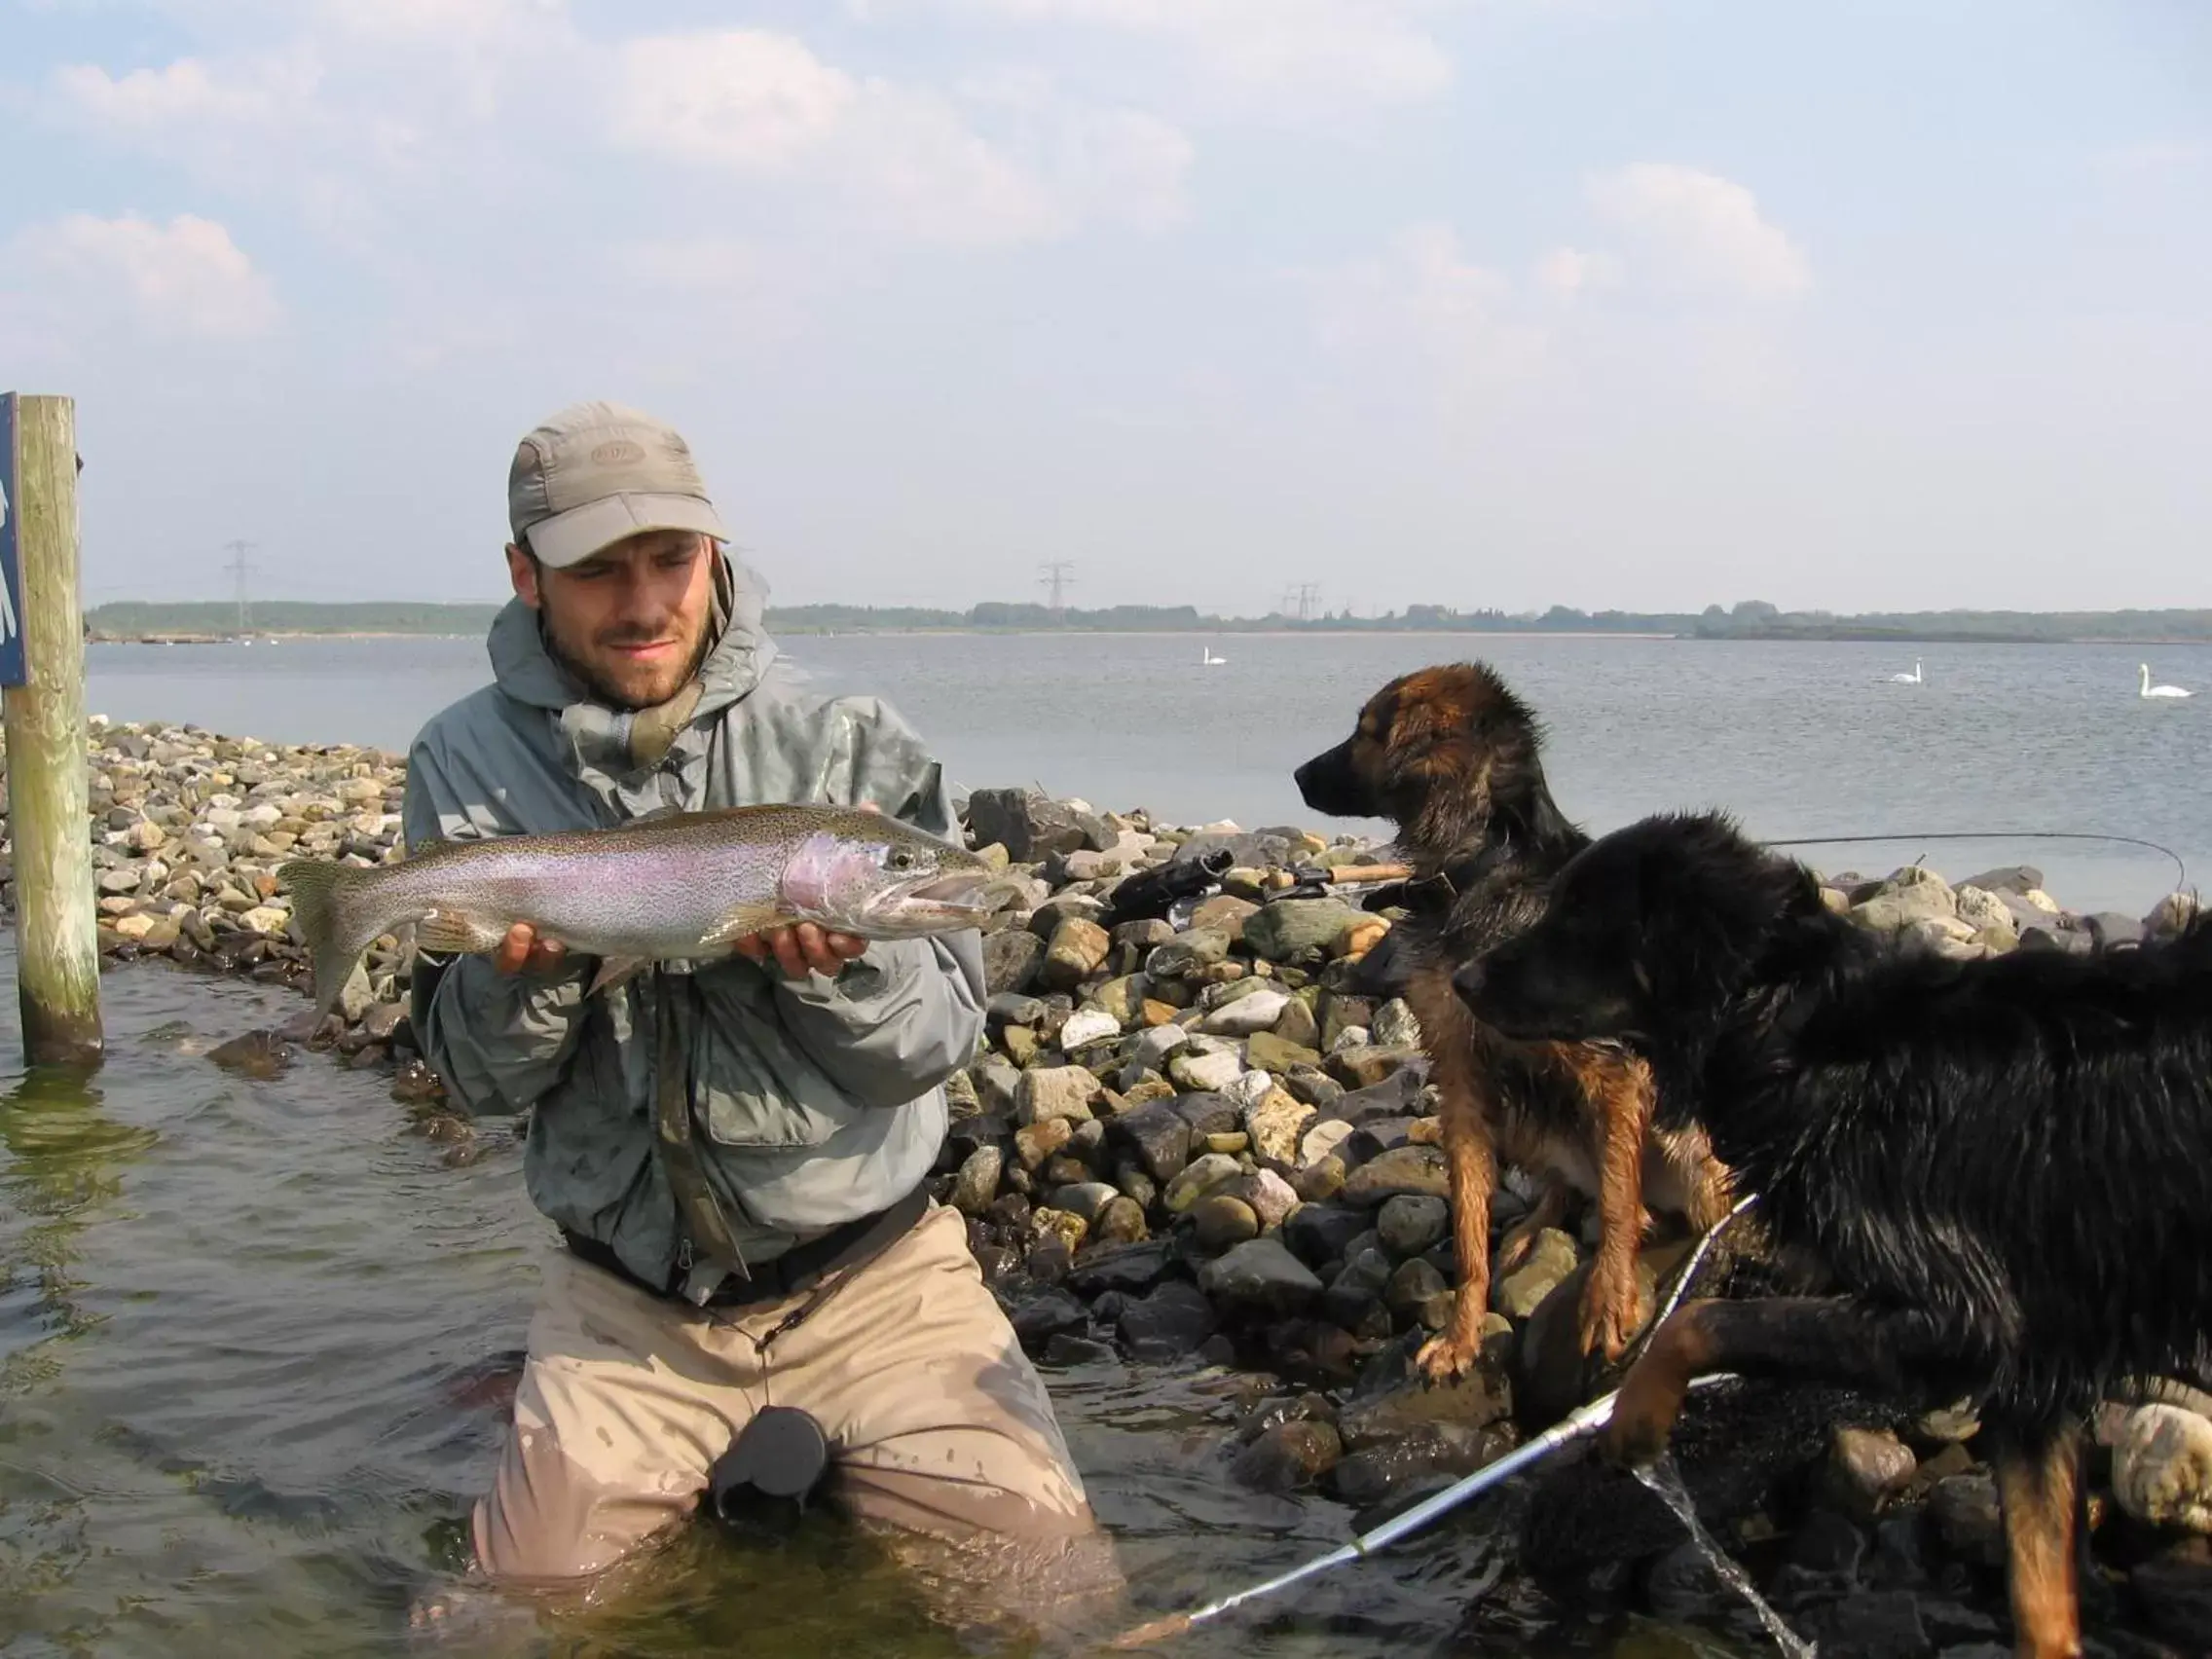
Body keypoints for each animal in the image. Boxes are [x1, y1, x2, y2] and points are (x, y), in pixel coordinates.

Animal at [1459, 814, 2212, 1654]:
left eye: (1581, 918)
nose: (1462, 978)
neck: (1799, 1035)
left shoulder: (1965, 1313)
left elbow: (1703, 1320)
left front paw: (1638, 1415)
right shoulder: (2031, 1370)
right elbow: (2040, 1601)